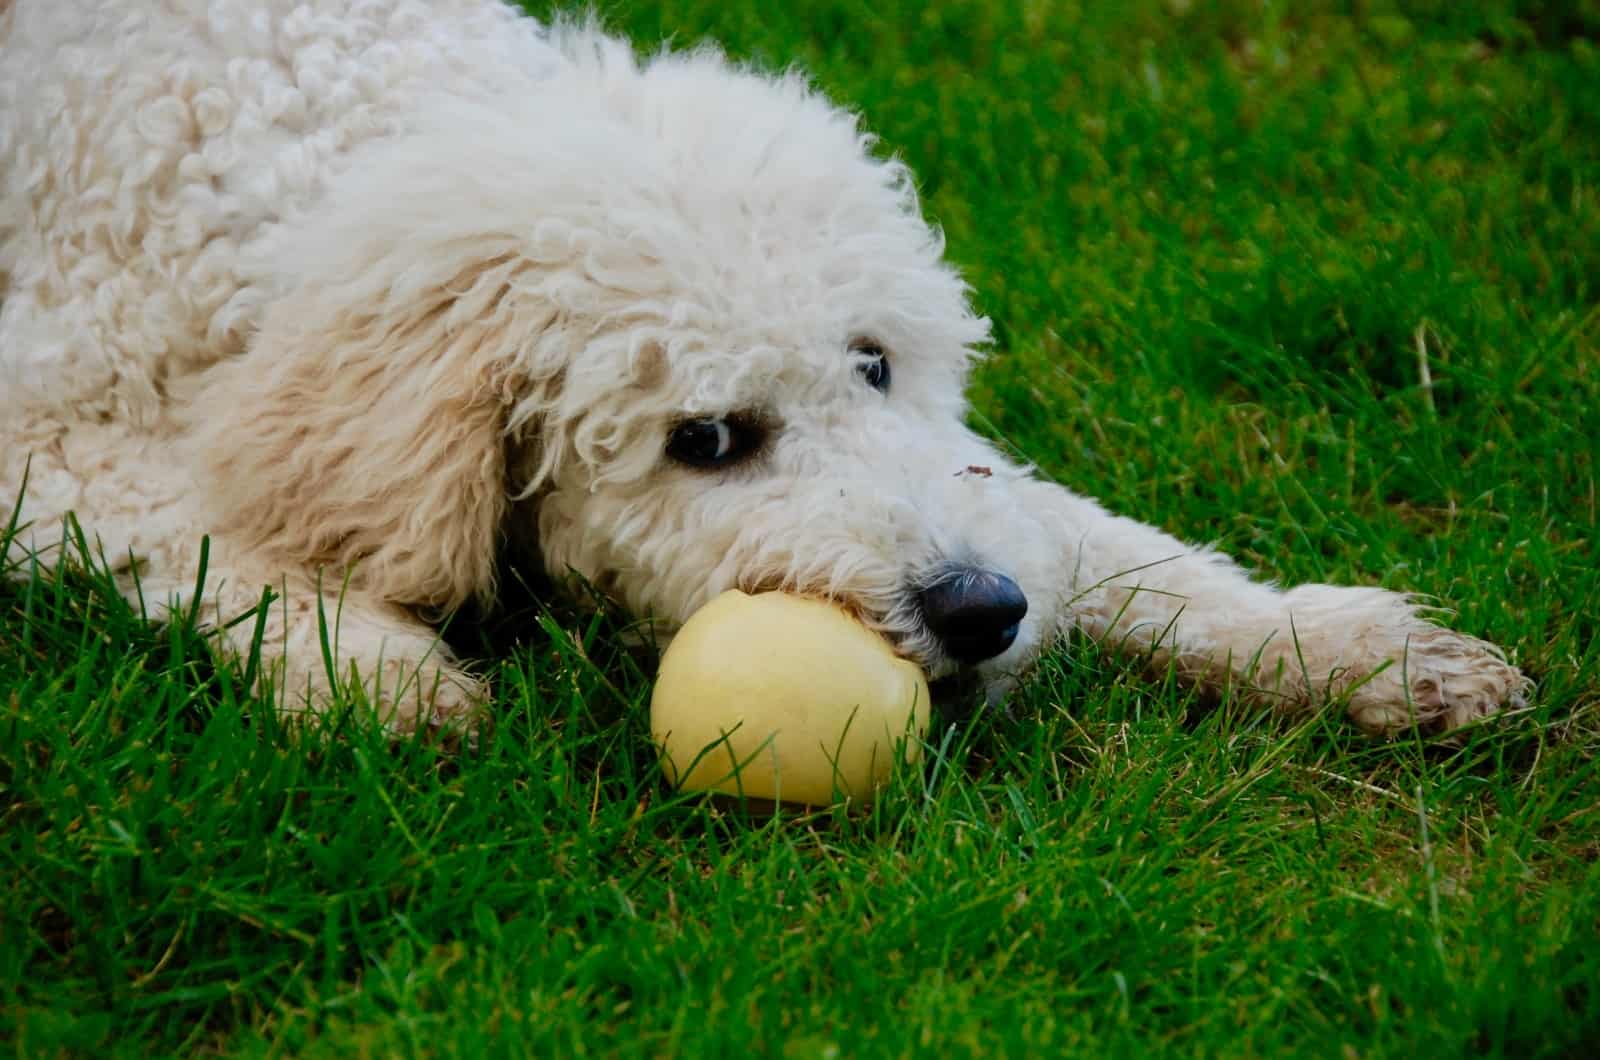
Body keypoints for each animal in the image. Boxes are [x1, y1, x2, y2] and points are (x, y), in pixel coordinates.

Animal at [0, 0, 1529, 736]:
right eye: (710, 441)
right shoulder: (43, 423)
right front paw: (367, 666)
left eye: (876, 365)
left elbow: (1101, 541)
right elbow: (190, 528)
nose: (980, 611)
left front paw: (1346, 648)